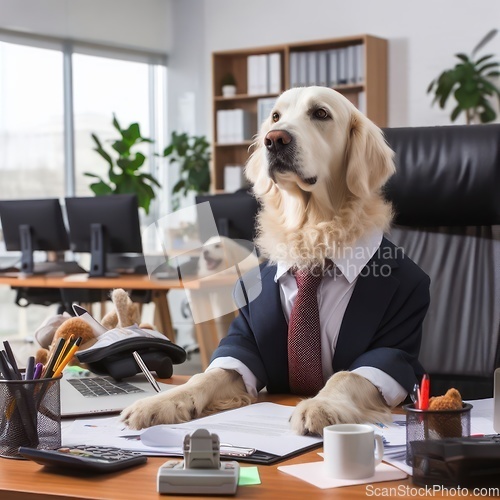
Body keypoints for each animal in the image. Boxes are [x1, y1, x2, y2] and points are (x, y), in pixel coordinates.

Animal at [122, 88, 430, 436]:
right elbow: (209, 374)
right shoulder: (244, 345)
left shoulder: (392, 348)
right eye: (275, 117)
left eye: (321, 113)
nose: (274, 139)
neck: (311, 234)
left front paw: (319, 405)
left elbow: (347, 374)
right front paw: (159, 402)